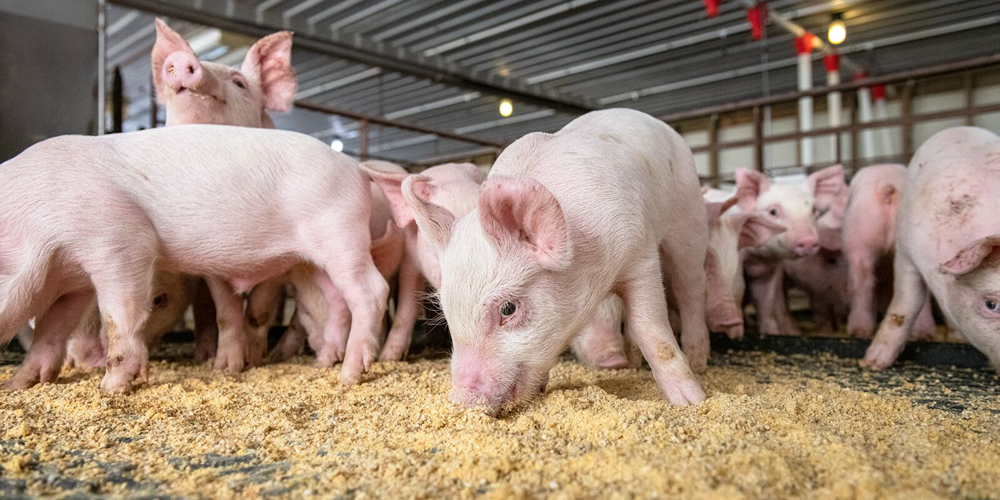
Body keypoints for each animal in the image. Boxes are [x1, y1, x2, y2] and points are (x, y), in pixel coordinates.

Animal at [0, 125, 388, 392]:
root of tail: (356, 168)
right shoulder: (71, 281)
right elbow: (50, 330)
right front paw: (18, 384)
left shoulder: (120, 242)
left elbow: (118, 316)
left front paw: (110, 389)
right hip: (317, 259)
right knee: (337, 301)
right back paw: (324, 363)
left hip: (340, 234)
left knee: (372, 290)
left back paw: (349, 375)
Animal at [397, 109, 707, 412]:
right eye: (446, 309)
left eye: (508, 308)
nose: (461, 399)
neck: (591, 260)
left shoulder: (640, 255)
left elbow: (650, 330)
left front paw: (691, 402)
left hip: (688, 218)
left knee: (690, 287)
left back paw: (699, 363)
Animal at [735, 165, 848, 335]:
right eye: (773, 212)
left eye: (814, 210)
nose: (808, 240)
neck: (756, 256)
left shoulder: (770, 269)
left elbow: (766, 305)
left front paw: (772, 333)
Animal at [861, 127, 1000, 371]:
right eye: (991, 304)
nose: (867, 363)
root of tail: (959, 127)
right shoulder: (906, 249)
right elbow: (906, 303)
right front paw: (872, 364)